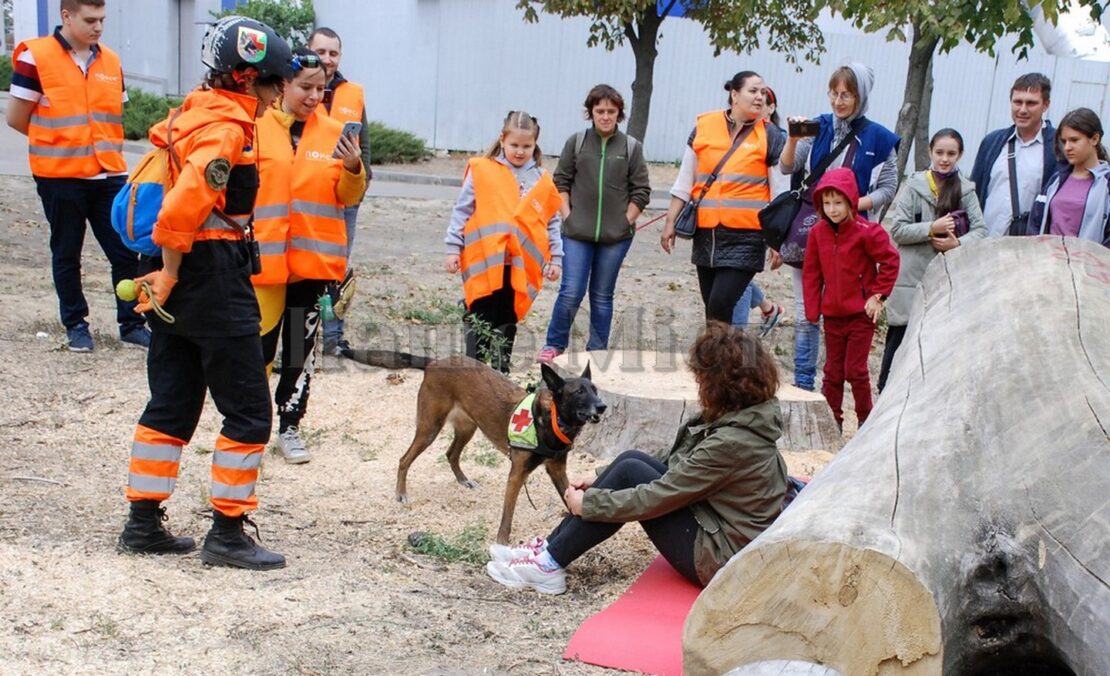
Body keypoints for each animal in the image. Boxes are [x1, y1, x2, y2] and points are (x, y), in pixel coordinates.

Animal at [397, 352, 608, 543]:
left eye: (595, 390)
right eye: (579, 392)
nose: (602, 406)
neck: (552, 420)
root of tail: (435, 362)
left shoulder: (557, 470)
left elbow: (568, 497)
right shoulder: (516, 475)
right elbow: (508, 515)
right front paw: (501, 542)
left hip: (467, 428)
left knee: (451, 454)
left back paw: (464, 481)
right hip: (430, 429)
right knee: (404, 459)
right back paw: (401, 494)